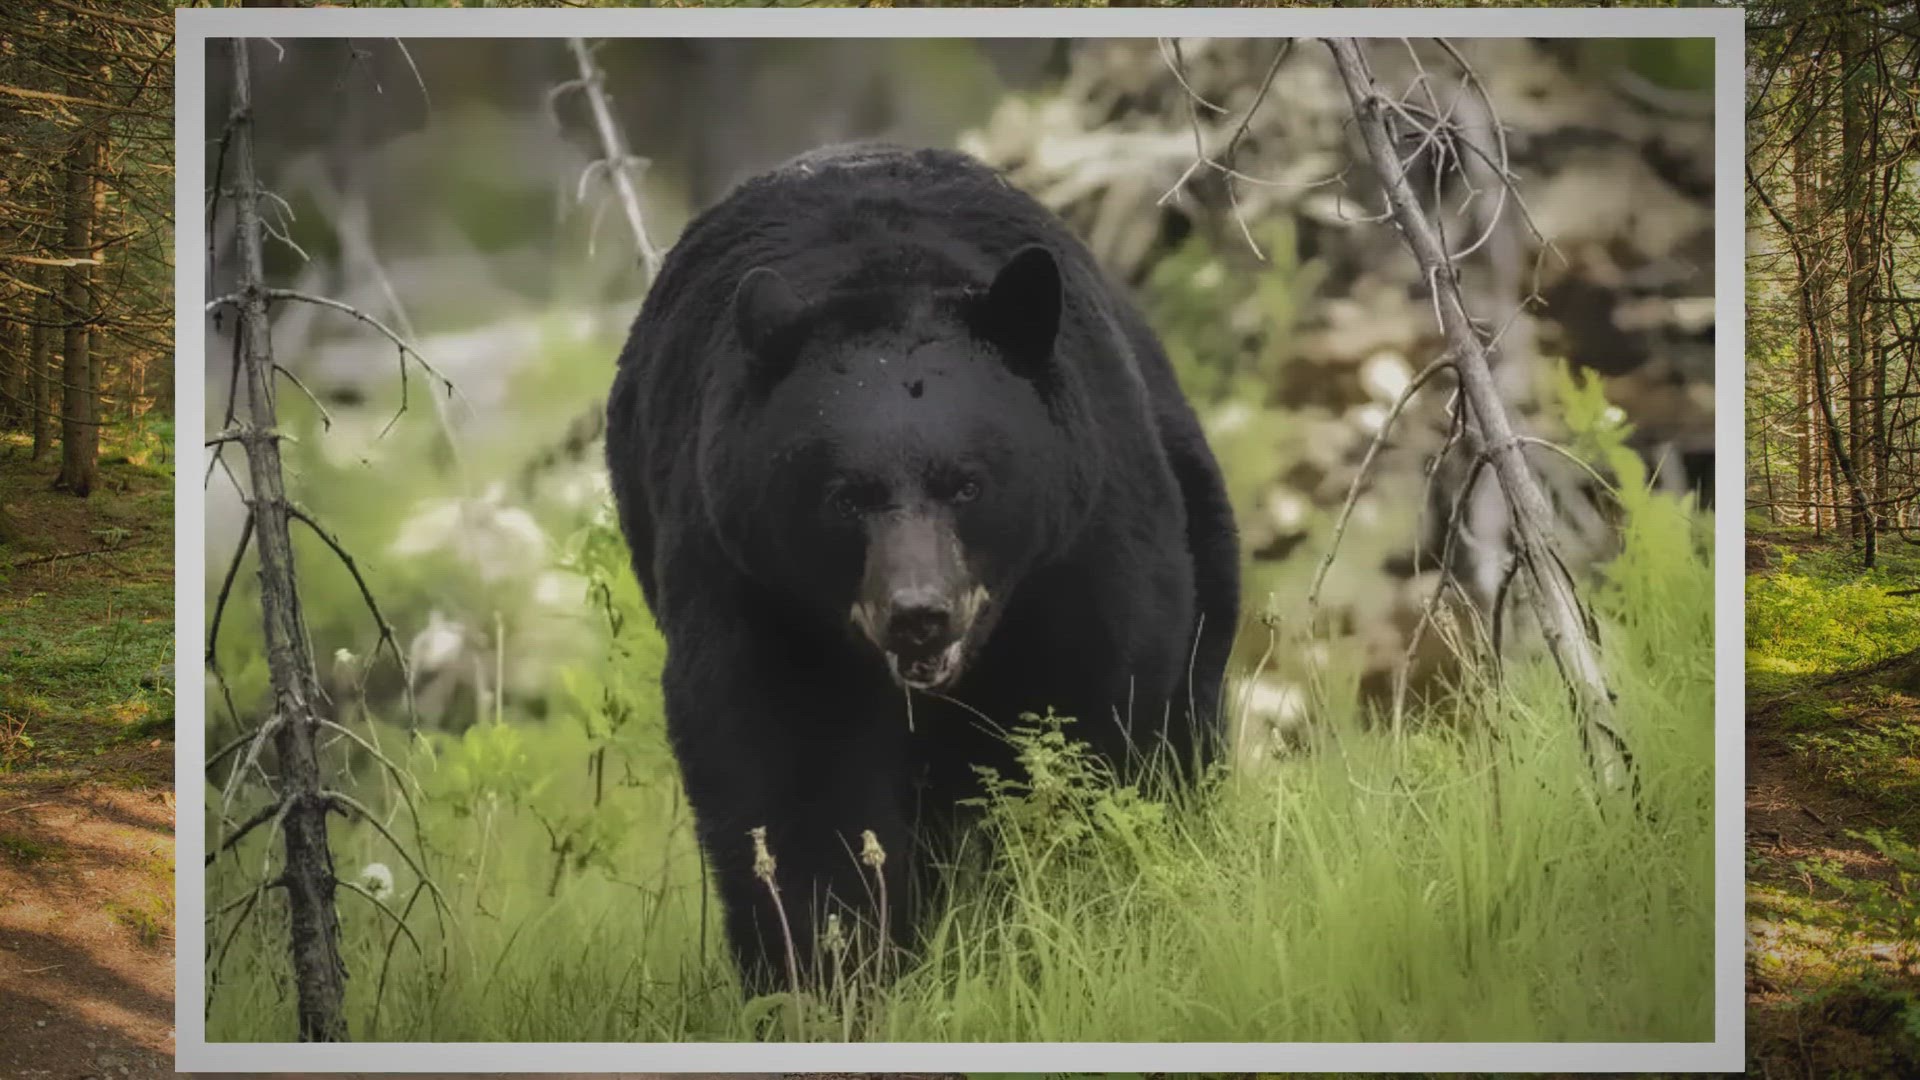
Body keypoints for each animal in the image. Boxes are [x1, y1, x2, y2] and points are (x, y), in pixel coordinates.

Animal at [603, 143, 1240, 992]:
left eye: (966, 483)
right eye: (847, 497)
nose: (918, 614)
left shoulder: (1084, 543)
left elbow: (1099, 710)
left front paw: (1068, 906)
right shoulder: (754, 581)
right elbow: (791, 773)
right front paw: (829, 972)